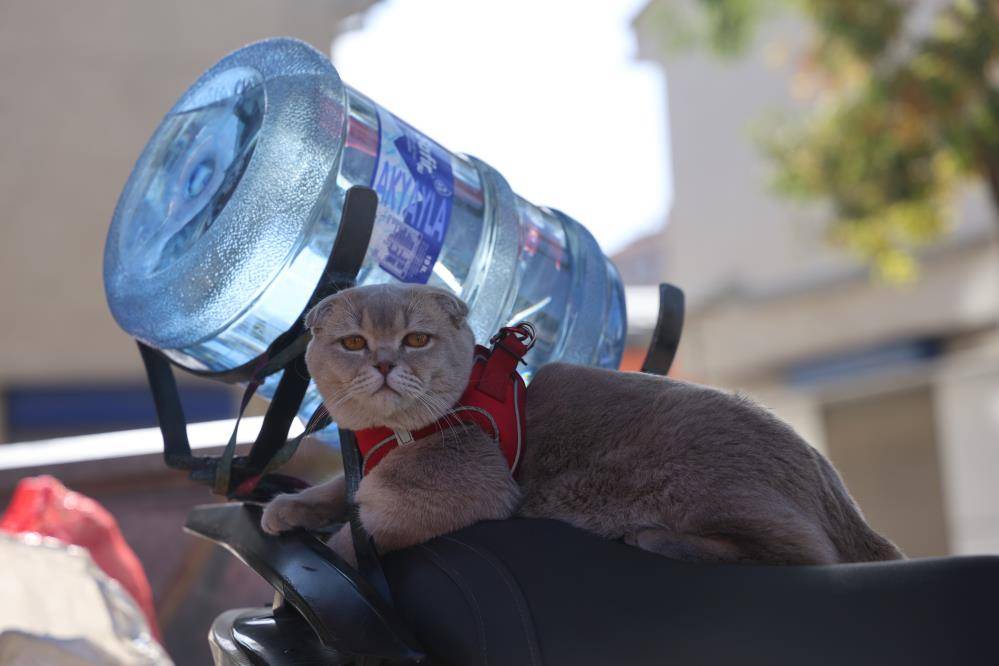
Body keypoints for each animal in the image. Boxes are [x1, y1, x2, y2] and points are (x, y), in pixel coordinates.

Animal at [262, 282, 904, 564]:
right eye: (353, 342)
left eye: (416, 338)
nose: (384, 362)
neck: (390, 435)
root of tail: (832, 486)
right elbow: (336, 488)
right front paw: (289, 508)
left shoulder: (466, 491)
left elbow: (366, 520)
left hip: (700, 485)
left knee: (805, 555)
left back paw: (651, 538)